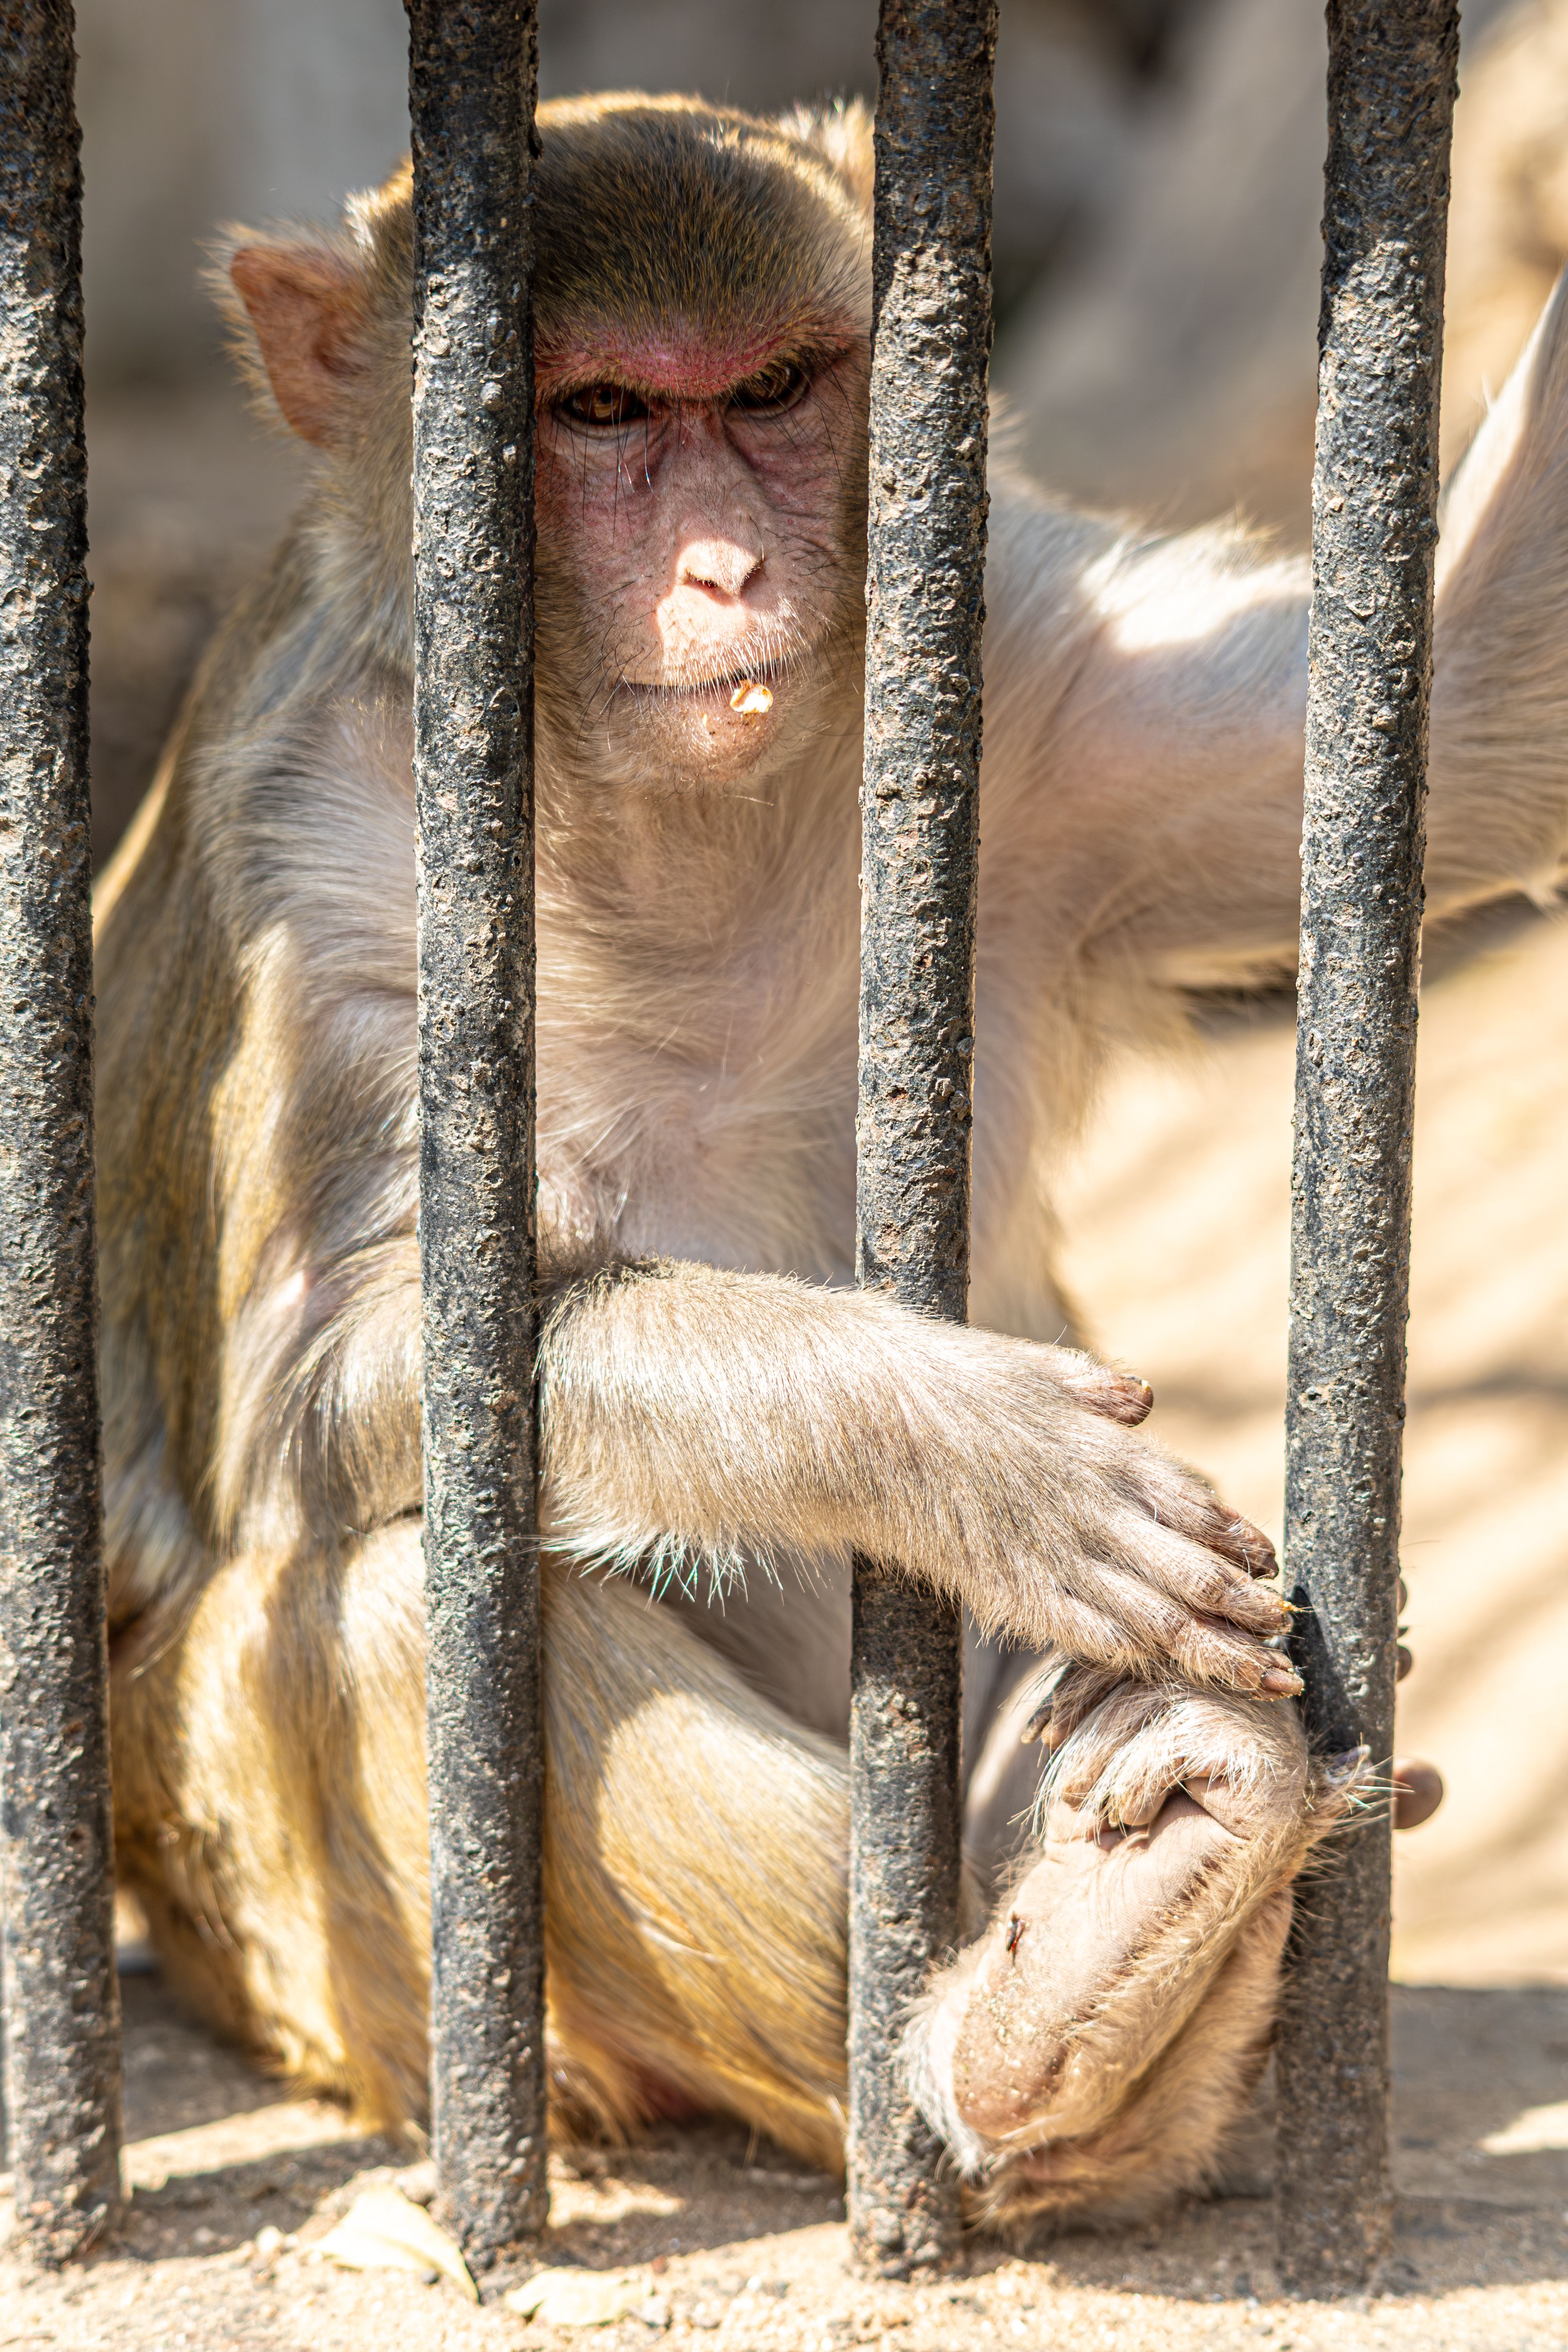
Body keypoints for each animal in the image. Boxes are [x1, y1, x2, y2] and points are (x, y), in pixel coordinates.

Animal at [97, 92, 1568, 2237]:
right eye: (599, 411)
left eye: (777, 389)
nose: (725, 568)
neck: (662, 829)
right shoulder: (330, 877)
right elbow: (319, 1392)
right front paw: (958, 1444)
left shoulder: (1029, 658)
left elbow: (1472, 714)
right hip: (321, 1962)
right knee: (401, 1615)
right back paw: (1045, 2059)